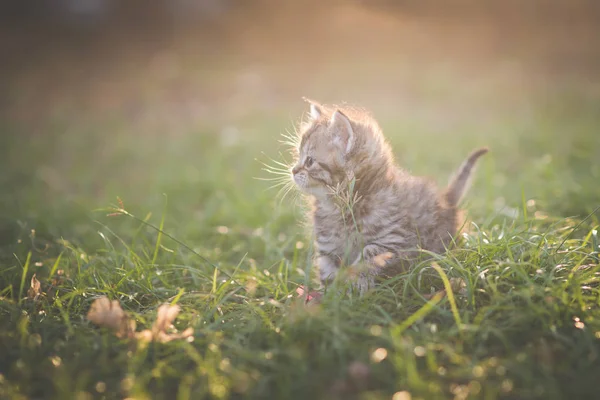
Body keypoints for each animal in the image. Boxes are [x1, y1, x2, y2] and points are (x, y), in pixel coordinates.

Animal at [290, 99, 488, 294]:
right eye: (299, 157)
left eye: (309, 161)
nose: (293, 170)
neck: (342, 207)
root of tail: (447, 199)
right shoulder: (327, 246)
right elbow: (328, 272)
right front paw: (330, 297)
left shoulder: (394, 237)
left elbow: (369, 253)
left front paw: (358, 284)